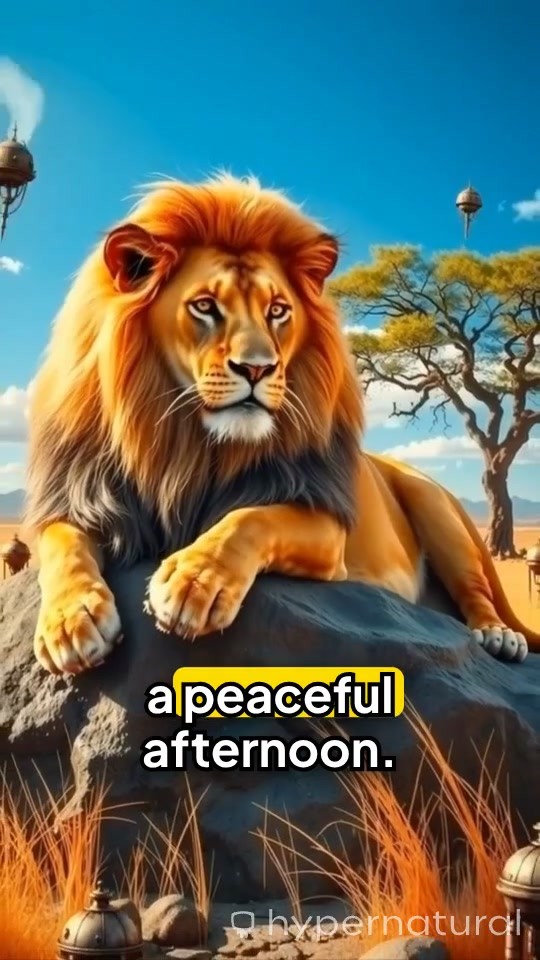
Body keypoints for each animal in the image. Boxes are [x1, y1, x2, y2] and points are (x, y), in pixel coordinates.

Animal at [24, 173, 540, 675]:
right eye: (205, 306)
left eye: (277, 311)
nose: (257, 369)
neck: (185, 443)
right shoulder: (87, 500)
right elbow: (60, 542)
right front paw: (70, 621)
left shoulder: (327, 527)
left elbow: (249, 519)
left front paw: (195, 582)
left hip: (434, 506)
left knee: (476, 592)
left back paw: (499, 635)